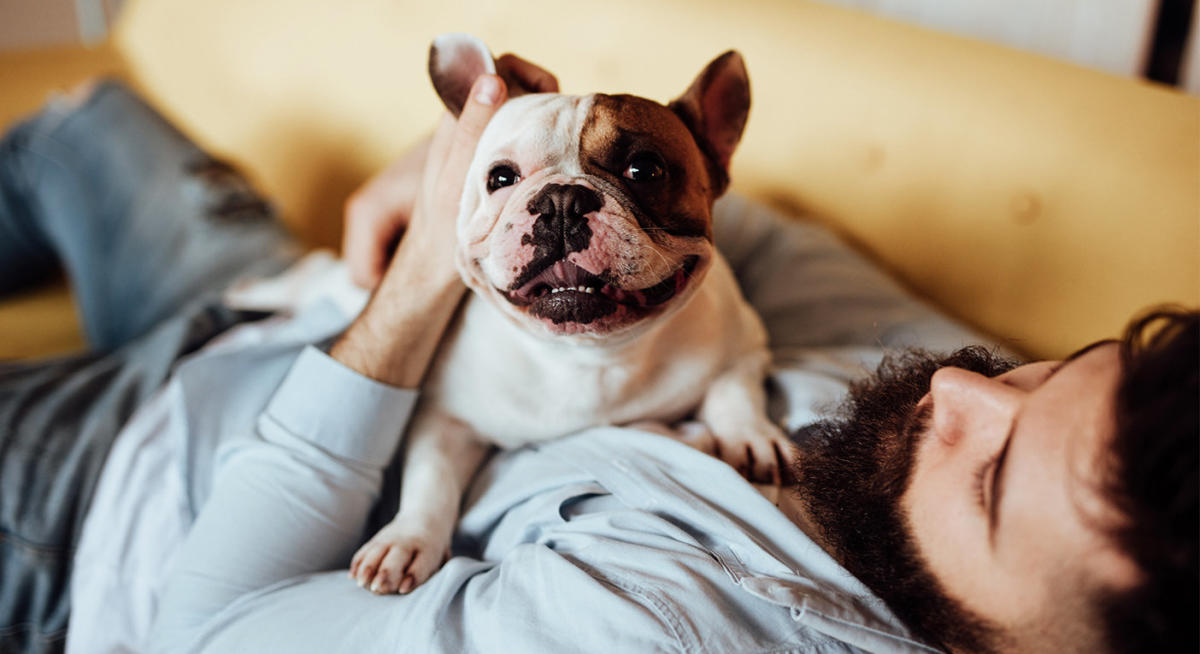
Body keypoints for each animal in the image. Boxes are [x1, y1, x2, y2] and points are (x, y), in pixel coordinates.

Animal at [350, 36, 792, 597]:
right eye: (500, 177)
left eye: (645, 170)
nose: (561, 199)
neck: (588, 355)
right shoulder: (445, 416)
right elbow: (431, 477)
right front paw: (406, 539)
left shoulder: (743, 343)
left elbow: (735, 389)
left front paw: (749, 437)